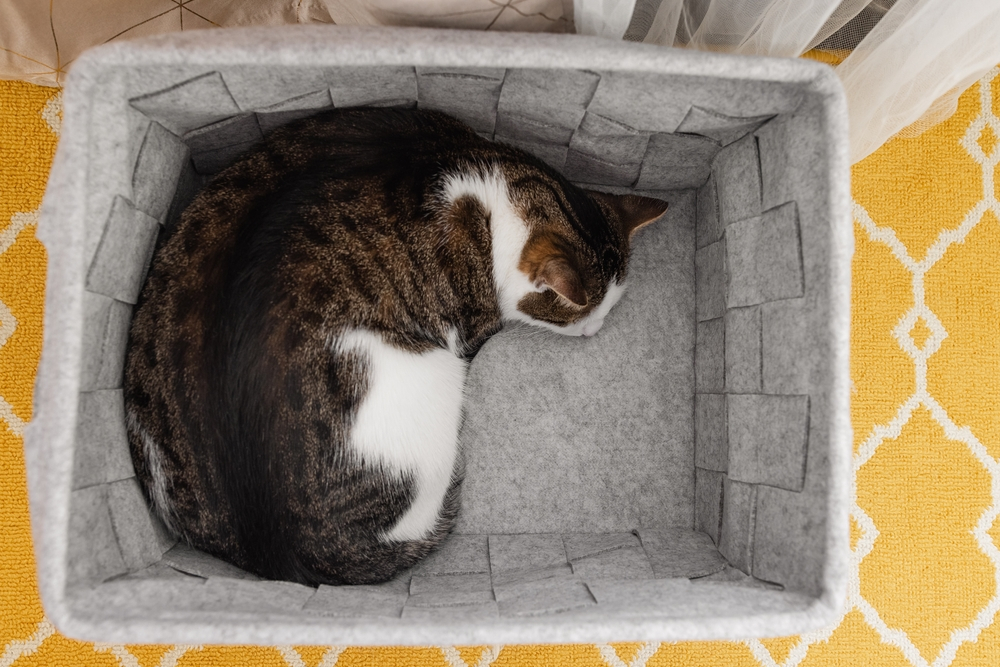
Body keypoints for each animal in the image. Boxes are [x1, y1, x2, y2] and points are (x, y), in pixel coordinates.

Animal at [127, 108, 672, 584]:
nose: (594, 332)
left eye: (609, 310)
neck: (483, 175)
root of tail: (301, 563)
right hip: (429, 377)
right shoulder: (472, 316)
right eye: (579, 318)